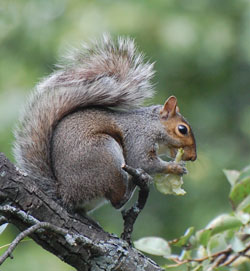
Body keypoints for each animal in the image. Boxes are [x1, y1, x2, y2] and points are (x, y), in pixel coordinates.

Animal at [13, 35, 197, 223]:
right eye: (182, 129)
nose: (193, 157)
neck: (150, 125)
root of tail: (65, 193)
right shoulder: (139, 140)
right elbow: (143, 162)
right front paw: (175, 168)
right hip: (105, 155)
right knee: (117, 200)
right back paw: (133, 184)